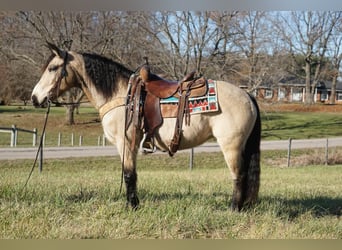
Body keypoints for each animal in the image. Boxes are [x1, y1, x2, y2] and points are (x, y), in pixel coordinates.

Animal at [32, 43, 262, 211]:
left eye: (53, 68)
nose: (35, 98)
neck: (121, 95)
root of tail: (247, 95)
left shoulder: (125, 143)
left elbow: (129, 175)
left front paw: (132, 207)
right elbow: (132, 175)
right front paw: (134, 204)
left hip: (231, 146)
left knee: (239, 175)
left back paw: (233, 209)